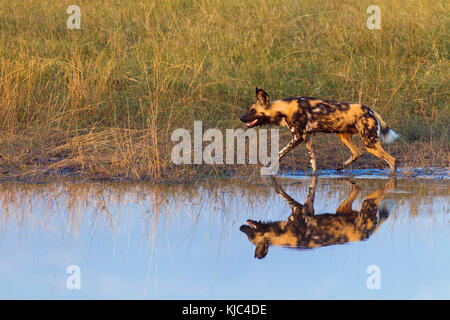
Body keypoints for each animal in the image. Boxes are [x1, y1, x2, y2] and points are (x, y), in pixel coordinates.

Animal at [239, 176, 394, 258]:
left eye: (251, 236)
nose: (240, 228)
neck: (281, 234)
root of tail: (367, 234)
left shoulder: (300, 209)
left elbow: (280, 191)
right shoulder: (306, 209)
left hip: (366, 205)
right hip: (343, 210)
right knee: (357, 188)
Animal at [241, 87, 400, 172]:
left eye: (252, 110)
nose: (241, 118)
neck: (284, 109)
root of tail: (370, 110)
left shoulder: (298, 137)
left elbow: (278, 154)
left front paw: (270, 167)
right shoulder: (307, 138)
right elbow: (313, 162)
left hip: (370, 144)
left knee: (392, 160)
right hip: (344, 136)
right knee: (357, 153)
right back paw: (339, 168)